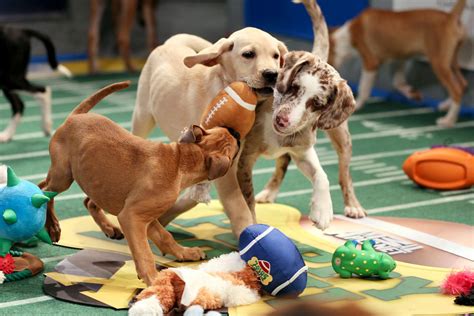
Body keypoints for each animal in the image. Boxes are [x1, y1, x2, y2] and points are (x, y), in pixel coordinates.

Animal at [39, 82, 241, 286]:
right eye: (234, 144)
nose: (236, 132)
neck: (181, 160)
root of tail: (75, 116)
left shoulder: (146, 218)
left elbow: (165, 236)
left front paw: (184, 253)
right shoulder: (132, 217)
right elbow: (144, 252)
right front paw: (153, 279)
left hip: (89, 182)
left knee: (64, 192)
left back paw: (108, 228)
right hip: (63, 176)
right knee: (45, 191)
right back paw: (53, 226)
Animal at [330, 0, 466, 128]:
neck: (347, 35)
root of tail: (450, 16)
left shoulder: (371, 63)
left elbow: (364, 87)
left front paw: (356, 105)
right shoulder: (399, 57)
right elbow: (397, 82)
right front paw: (410, 92)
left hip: (439, 63)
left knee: (456, 90)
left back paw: (449, 120)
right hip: (452, 62)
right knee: (462, 83)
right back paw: (446, 105)